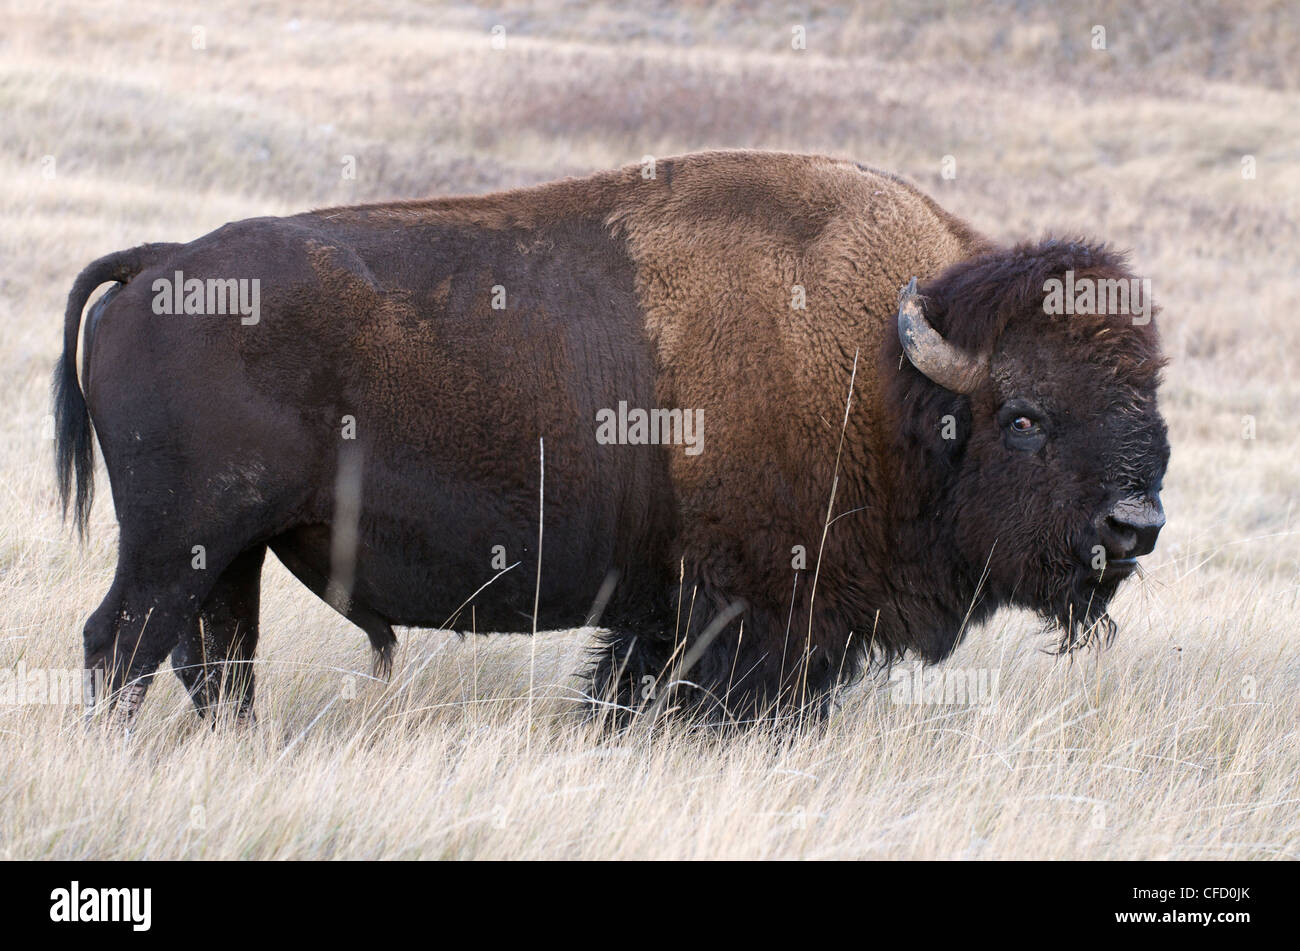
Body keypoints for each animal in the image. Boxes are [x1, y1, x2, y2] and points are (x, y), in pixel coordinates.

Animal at [53, 150, 1168, 726]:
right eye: (1024, 418)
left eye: (1150, 402)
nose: (1135, 524)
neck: (890, 382)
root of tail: (161, 265)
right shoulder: (751, 616)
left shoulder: (672, 616)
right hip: (174, 547)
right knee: (120, 646)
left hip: (227, 557)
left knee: (216, 663)